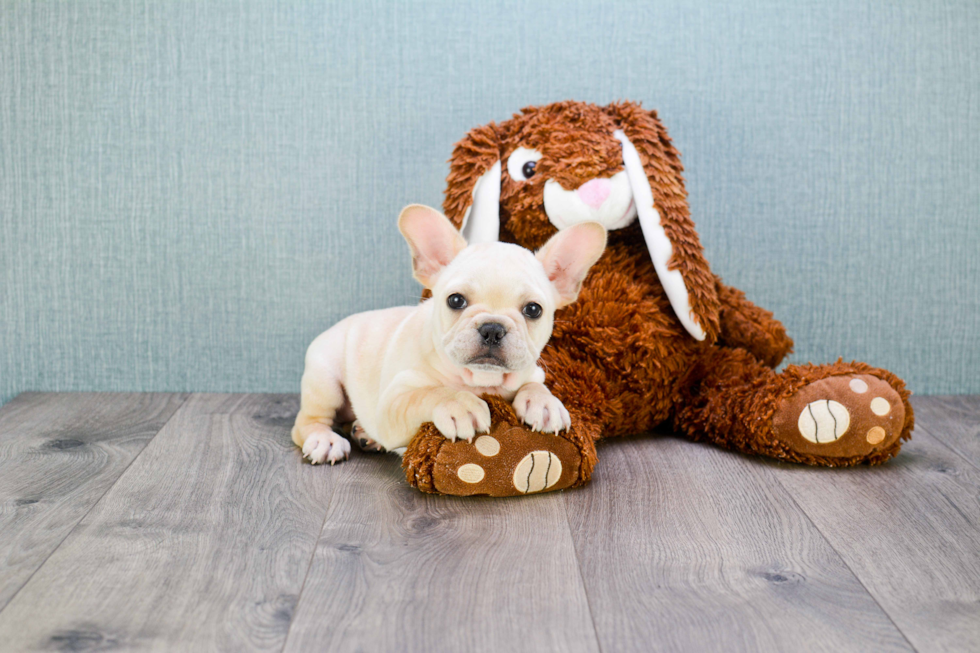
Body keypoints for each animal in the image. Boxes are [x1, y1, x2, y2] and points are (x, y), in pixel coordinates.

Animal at [292, 204, 604, 464]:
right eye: (455, 301)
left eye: (533, 309)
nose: (492, 328)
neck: (481, 381)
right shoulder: (392, 404)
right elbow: (431, 393)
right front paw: (459, 404)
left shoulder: (532, 373)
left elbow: (534, 385)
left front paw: (545, 403)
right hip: (325, 380)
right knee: (307, 421)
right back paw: (325, 439)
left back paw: (363, 434)